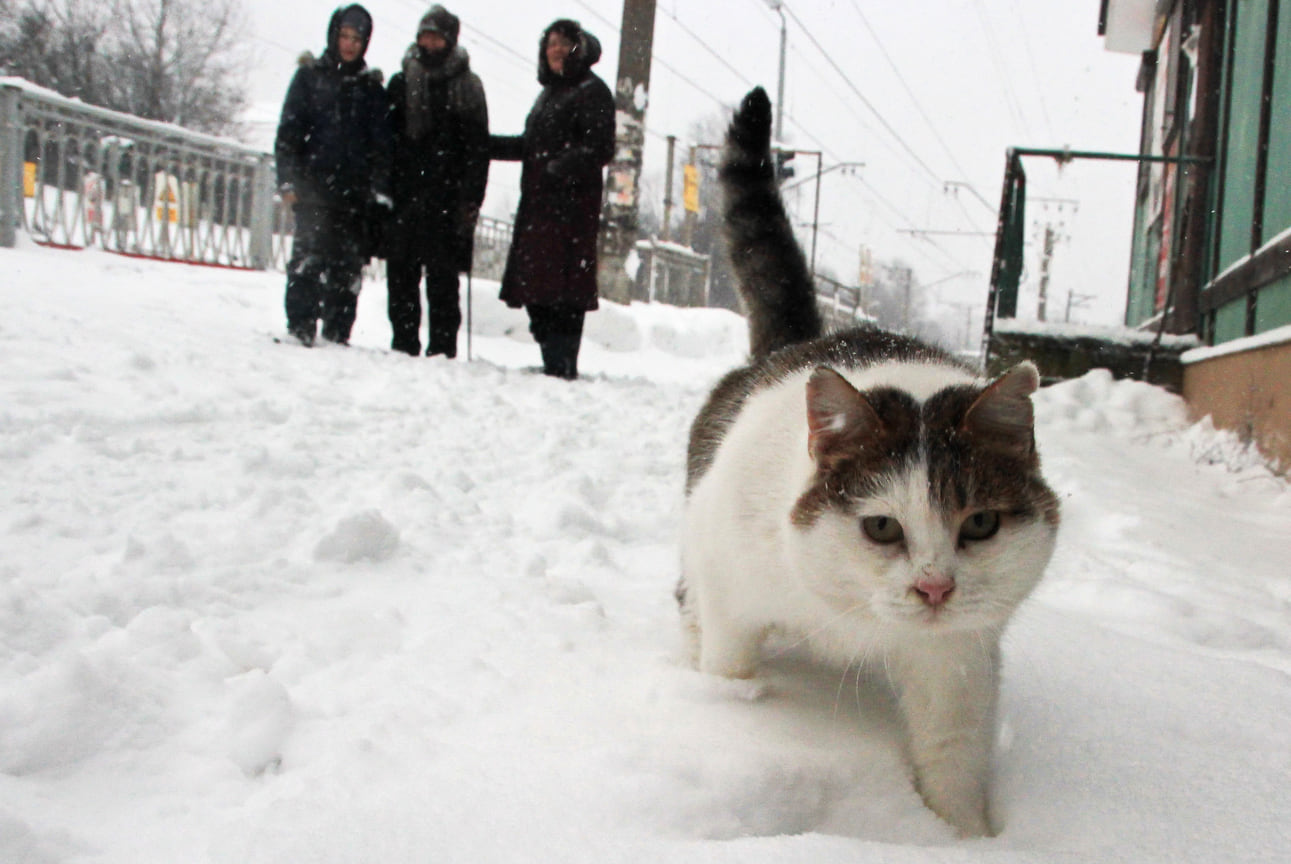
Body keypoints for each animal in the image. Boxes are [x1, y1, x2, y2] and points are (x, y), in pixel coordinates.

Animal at [676, 87, 1058, 836]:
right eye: (881, 527)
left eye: (980, 525)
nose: (935, 589)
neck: (849, 616)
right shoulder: (732, 586)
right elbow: (728, 667)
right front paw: (728, 719)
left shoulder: (957, 663)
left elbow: (953, 756)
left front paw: (961, 840)